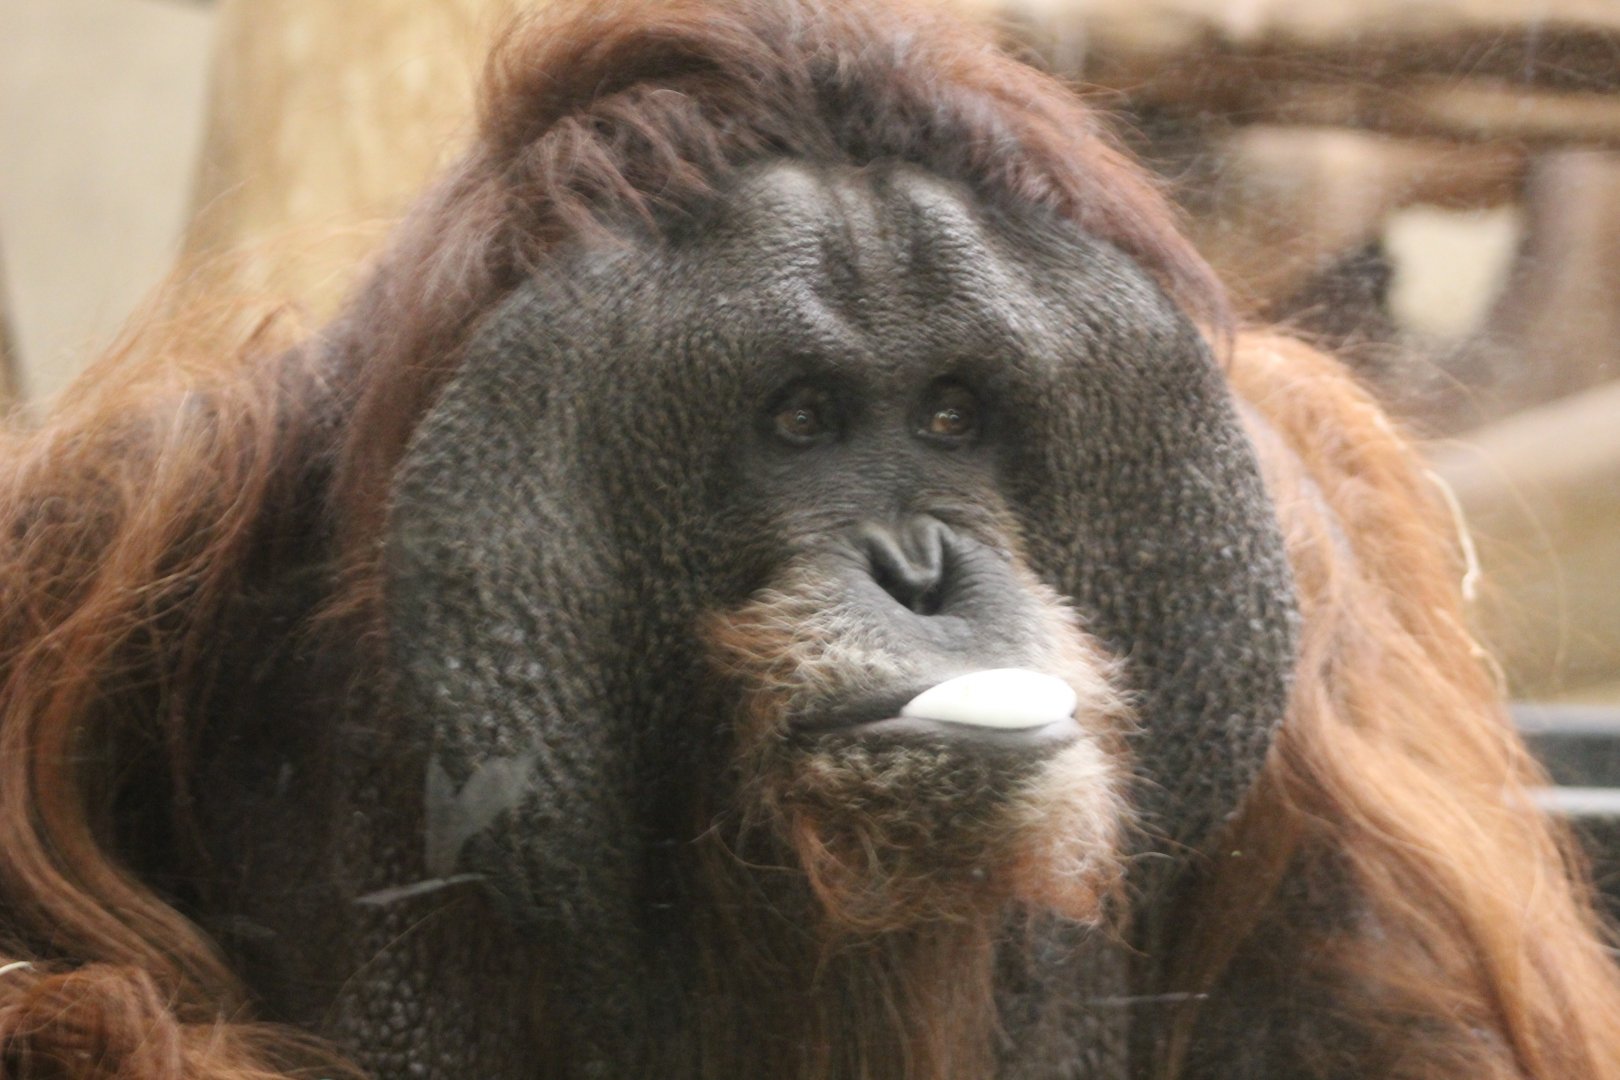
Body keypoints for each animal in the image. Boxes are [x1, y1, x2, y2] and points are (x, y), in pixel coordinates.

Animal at [2, 1, 1618, 1078]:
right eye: (800, 420)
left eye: (955, 416)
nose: (920, 569)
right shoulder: (104, 530)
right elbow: (77, 998)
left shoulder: (1323, 578)